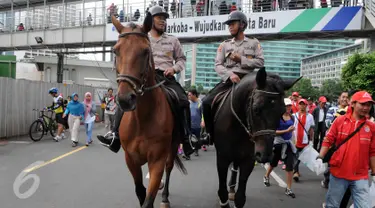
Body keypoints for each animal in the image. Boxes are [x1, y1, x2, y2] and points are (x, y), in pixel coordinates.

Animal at [111, 15, 188, 208]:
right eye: (115, 51)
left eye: (146, 51)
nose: (125, 99)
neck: (142, 119)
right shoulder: (130, 159)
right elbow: (141, 192)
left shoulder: (157, 160)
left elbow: (149, 197)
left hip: (173, 147)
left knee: (169, 168)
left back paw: (165, 197)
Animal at [210, 68, 302, 208]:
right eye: (256, 109)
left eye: (282, 112)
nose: (265, 155)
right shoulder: (222, 157)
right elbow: (222, 190)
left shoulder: (248, 159)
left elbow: (240, 197)